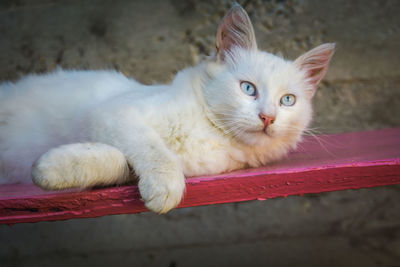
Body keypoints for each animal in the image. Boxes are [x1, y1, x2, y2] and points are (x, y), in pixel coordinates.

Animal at [0, 4, 334, 214]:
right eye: (248, 88)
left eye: (287, 100)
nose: (268, 117)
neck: (210, 130)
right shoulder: (114, 114)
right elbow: (152, 149)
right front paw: (165, 186)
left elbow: (118, 161)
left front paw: (50, 169)